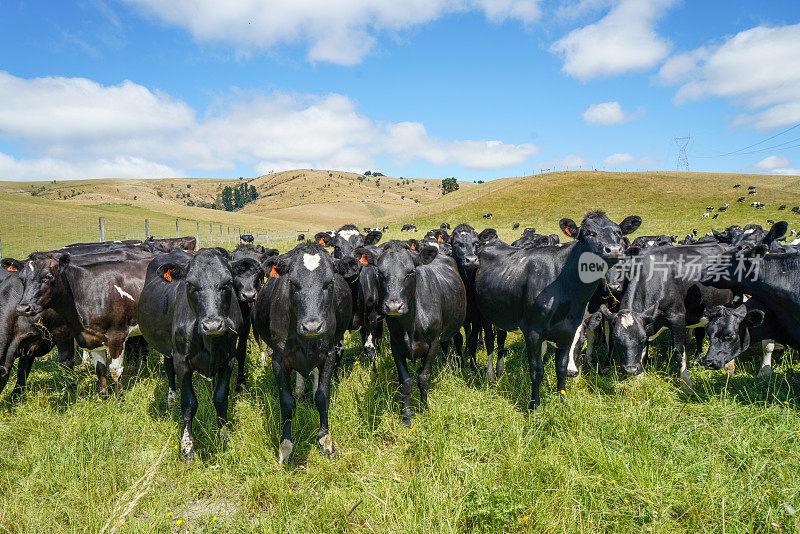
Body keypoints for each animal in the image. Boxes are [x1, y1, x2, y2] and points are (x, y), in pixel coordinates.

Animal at [138, 249, 244, 462]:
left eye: (227, 282)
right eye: (190, 284)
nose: (212, 325)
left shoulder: (228, 359)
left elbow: (221, 398)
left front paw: (224, 437)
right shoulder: (182, 361)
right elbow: (189, 403)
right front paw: (187, 446)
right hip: (168, 347)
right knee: (168, 369)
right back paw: (171, 398)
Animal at [253, 243, 360, 464]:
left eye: (329, 282)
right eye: (292, 283)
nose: (312, 326)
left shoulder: (329, 353)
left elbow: (322, 396)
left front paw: (326, 440)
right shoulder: (279, 358)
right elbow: (286, 402)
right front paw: (285, 447)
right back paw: (300, 389)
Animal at [478, 211, 640, 408]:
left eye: (618, 232)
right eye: (587, 233)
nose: (614, 249)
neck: (564, 284)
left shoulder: (568, 330)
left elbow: (561, 368)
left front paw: (562, 402)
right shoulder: (532, 331)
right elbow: (537, 370)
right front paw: (534, 406)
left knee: (501, 338)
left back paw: (500, 370)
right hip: (484, 314)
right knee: (489, 342)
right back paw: (491, 375)